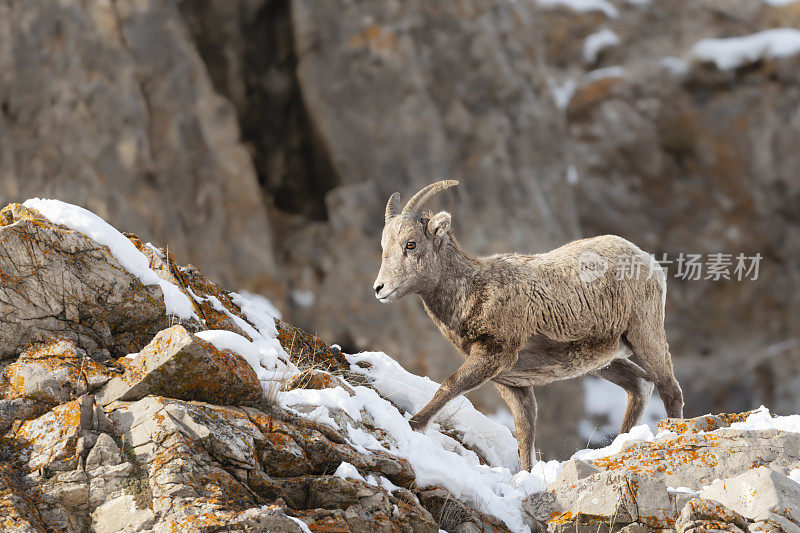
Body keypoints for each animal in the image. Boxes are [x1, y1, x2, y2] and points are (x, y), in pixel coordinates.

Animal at [374, 180, 680, 470]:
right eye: (384, 246)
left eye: (411, 244)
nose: (380, 288)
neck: (473, 290)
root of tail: (647, 260)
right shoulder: (511, 383)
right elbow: (525, 430)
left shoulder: (492, 357)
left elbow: (450, 385)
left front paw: (413, 425)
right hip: (604, 360)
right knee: (640, 385)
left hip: (645, 335)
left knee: (669, 388)